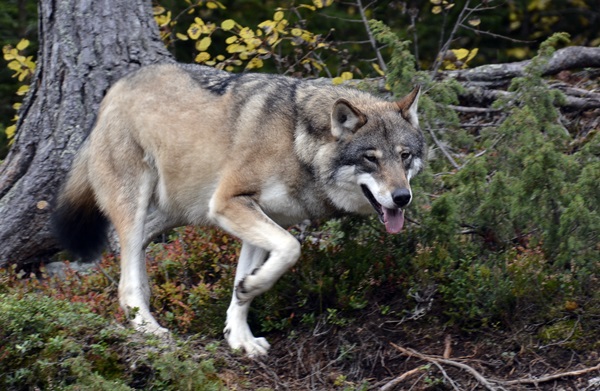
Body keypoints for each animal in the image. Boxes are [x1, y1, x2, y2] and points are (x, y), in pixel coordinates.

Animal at [51, 63, 426, 358]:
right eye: (371, 158)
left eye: (404, 156)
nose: (402, 198)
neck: (298, 142)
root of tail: (114, 90)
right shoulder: (230, 202)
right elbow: (291, 247)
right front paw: (250, 293)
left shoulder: (260, 215)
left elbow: (243, 285)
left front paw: (240, 335)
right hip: (141, 200)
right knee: (125, 271)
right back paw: (147, 327)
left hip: (180, 211)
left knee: (133, 254)